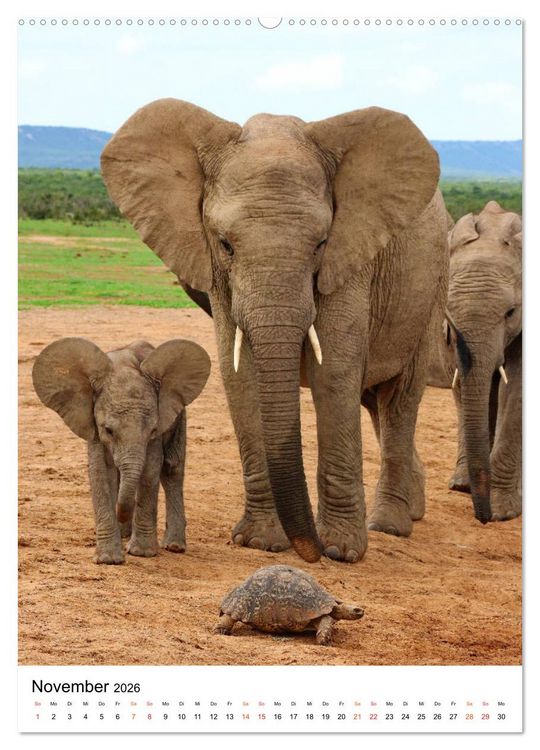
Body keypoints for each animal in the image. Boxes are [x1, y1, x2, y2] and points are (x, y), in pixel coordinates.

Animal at [32, 338, 211, 563]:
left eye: (152, 430)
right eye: (108, 430)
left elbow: (151, 469)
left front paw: (141, 553)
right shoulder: (92, 422)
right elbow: (100, 471)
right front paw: (108, 560)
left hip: (178, 413)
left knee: (172, 468)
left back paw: (174, 546)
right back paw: (125, 534)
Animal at [101, 99, 448, 564]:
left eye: (321, 244)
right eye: (226, 244)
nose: (311, 552)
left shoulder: (350, 259)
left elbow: (333, 371)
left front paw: (341, 551)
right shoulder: (218, 274)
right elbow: (240, 375)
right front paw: (260, 542)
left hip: (432, 285)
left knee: (399, 398)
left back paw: (390, 526)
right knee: (376, 400)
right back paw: (411, 509)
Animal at [428, 200, 522, 523]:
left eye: (511, 312)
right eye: (447, 307)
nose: (483, 518)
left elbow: (516, 392)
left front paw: (502, 512)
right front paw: (462, 488)